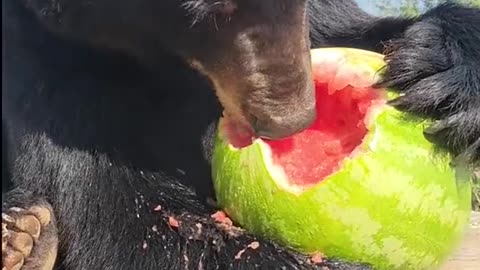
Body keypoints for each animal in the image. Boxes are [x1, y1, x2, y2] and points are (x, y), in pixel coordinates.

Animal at [1, 0, 478, 268]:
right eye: (210, 13)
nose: (291, 122)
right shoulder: (51, 64)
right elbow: (124, 222)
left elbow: (350, 28)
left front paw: (445, 68)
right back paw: (23, 235)